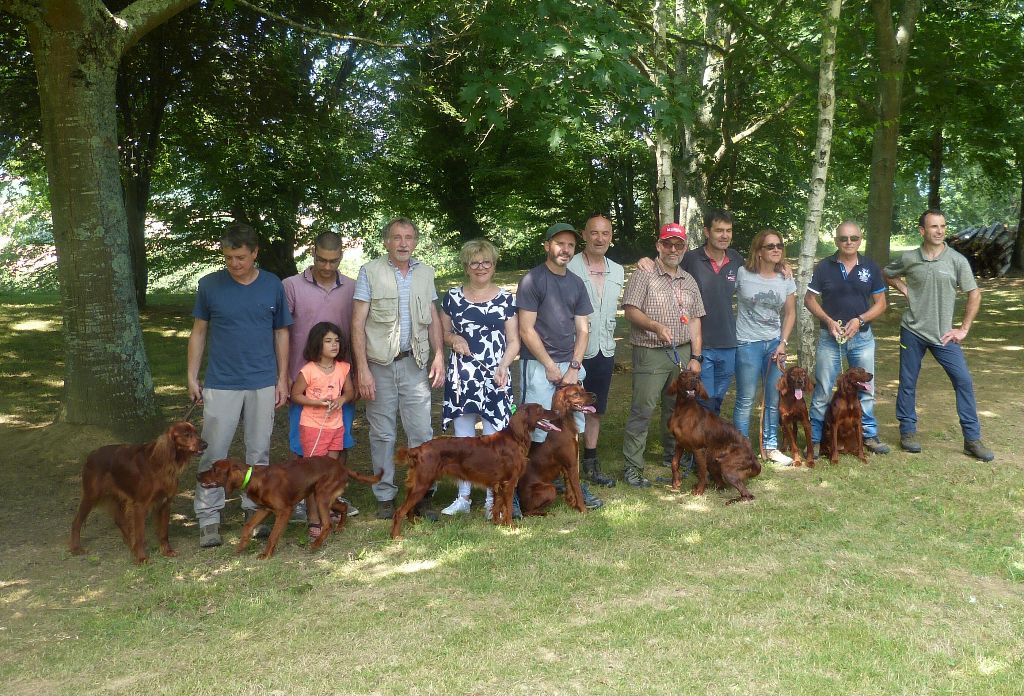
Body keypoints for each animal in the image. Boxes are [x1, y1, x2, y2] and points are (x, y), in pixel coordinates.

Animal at [70, 421, 207, 560]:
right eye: (186, 434)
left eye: (196, 432)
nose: (205, 444)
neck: (160, 463)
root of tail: (91, 454)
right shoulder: (140, 505)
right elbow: (140, 534)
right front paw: (141, 558)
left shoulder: (165, 503)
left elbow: (163, 532)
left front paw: (167, 551)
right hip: (91, 495)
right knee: (76, 522)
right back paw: (76, 548)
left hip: (119, 496)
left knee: (120, 521)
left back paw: (131, 544)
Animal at [195, 456, 380, 560]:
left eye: (214, 469)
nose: (197, 476)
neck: (254, 478)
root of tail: (342, 466)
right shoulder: (264, 509)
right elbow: (247, 526)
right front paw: (241, 547)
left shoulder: (284, 511)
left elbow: (273, 535)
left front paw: (266, 555)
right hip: (324, 496)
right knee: (343, 506)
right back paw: (340, 527)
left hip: (321, 497)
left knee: (327, 524)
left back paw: (316, 545)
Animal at [389, 403, 561, 536]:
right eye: (540, 409)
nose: (558, 412)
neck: (515, 437)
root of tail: (418, 449)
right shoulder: (509, 483)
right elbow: (508, 508)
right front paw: (511, 526)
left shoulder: (498, 484)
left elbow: (497, 505)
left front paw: (497, 523)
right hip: (422, 483)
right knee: (399, 512)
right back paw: (396, 536)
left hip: (419, 484)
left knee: (408, 509)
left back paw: (414, 525)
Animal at [516, 382, 598, 513]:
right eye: (576, 394)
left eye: (583, 389)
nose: (595, 396)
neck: (564, 424)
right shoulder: (572, 465)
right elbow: (578, 490)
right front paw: (583, 510)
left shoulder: (566, 467)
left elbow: (570, 487)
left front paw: (572, 504)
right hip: (550, 489)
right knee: (528, 512)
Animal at [663, 372, 761, 503]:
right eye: (683, 375)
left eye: (697, 377)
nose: (694, 381)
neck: (683, 411)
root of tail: (754, 458)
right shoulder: (679, 443)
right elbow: (674, 463)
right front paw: (676, 482)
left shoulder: (698, 449)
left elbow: (701, 472)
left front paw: (699, 491)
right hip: (713, 462)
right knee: (722, 485)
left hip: (727, 467)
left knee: (748, 495)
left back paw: (730, 501)